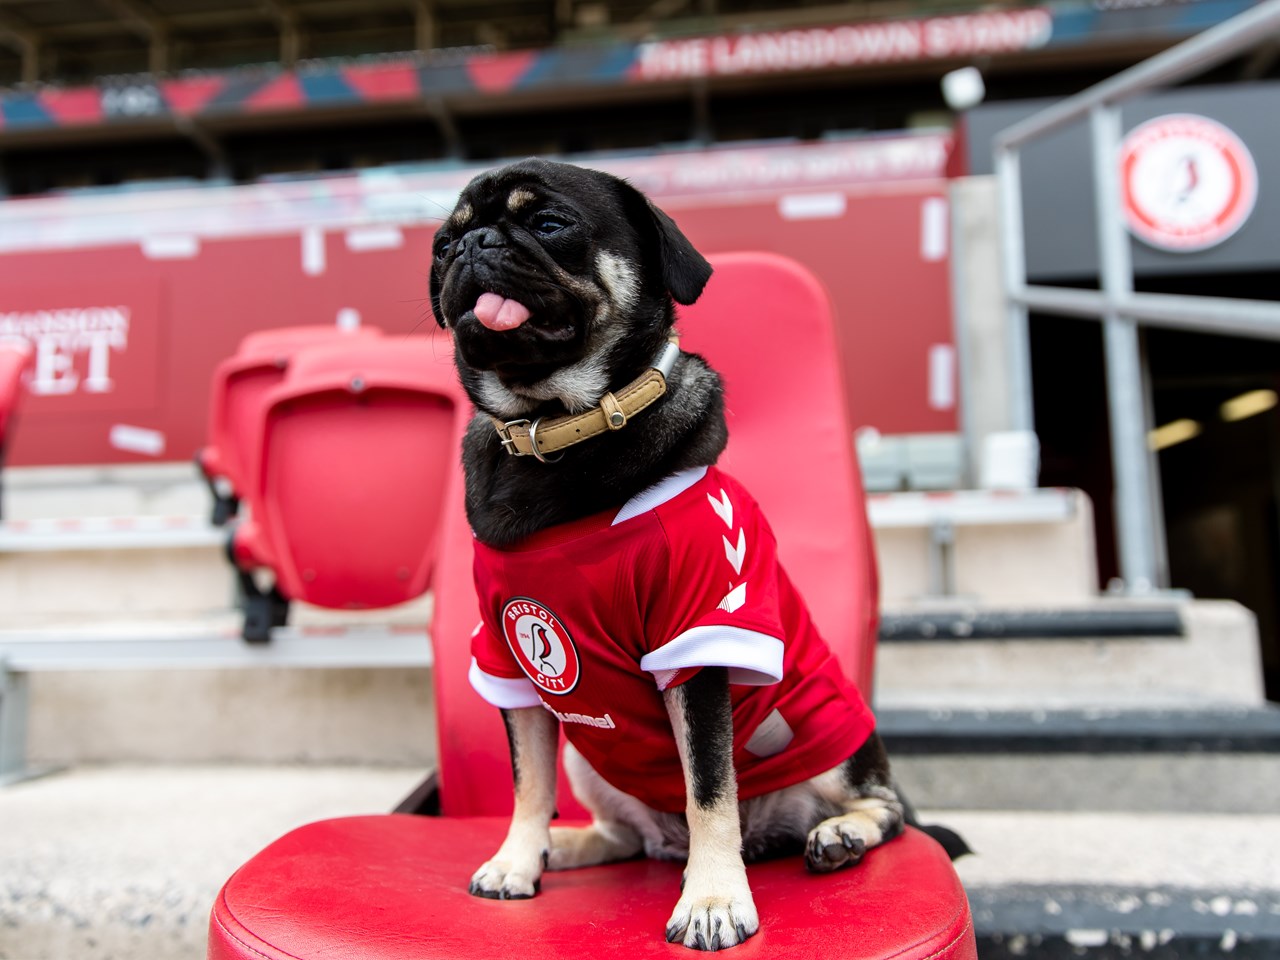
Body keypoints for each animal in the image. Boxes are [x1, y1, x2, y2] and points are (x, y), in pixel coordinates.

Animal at [430, 156, 911, 947]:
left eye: (549, 224)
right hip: (594, 765)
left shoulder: (697, 648)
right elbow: (528, 781)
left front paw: (713, 899)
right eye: (443, 244)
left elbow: (709, 788)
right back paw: (568, 845)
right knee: (625, 835)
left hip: (829, 738)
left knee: (886, 807)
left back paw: (838, 835)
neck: (556, 432)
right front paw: (518, 857)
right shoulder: (506, 655)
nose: (471, 247)